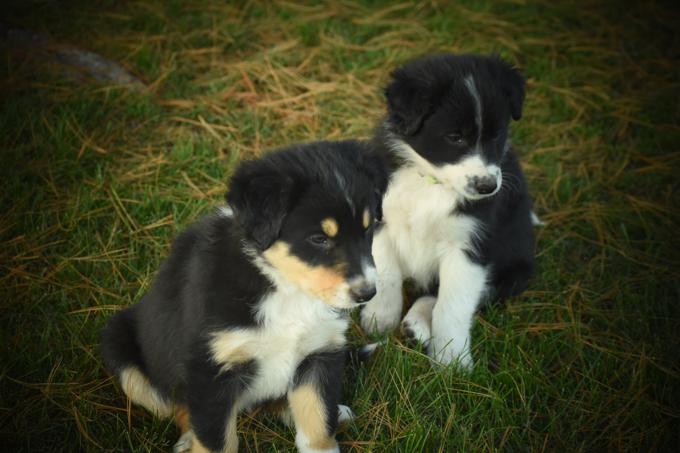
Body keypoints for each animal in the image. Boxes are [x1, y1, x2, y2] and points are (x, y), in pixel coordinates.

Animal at [101, 140, 388, 452]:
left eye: (368, 229)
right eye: (319, 239)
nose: (367, 293)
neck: (282, 287)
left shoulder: (319, 353)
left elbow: (318, 427)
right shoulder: (211, 369)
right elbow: (215, 439)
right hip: (121, 349)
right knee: (176, 405)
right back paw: (188, 439)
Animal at [362, 53, 536, 368]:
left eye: (497, 135)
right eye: (455, 137)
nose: (487, 186)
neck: (432, 182)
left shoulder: (470, 246)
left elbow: (453, 303)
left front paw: (452, 360)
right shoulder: (382, 222)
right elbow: (386, 274)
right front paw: (380, 317)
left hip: (515, 271)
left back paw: (418, 323)